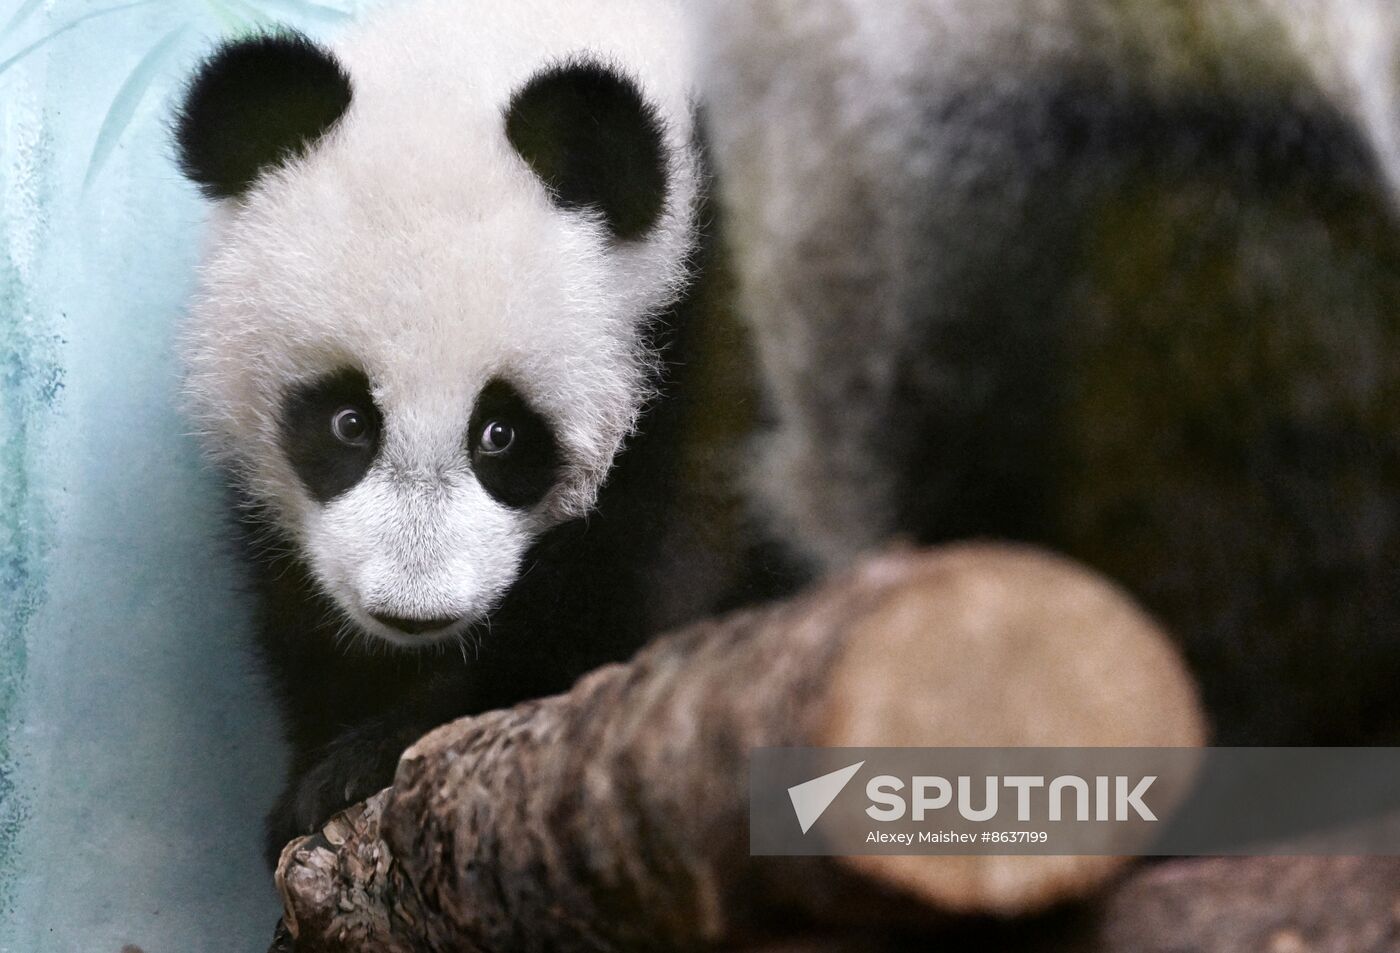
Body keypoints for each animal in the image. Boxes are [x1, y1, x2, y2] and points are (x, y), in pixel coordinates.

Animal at [173, 1, 784, 862]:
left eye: (501, 433)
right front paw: (312, 779)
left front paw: (376, 750)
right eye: (348, 421)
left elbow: (648, 590)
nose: (412, 612)